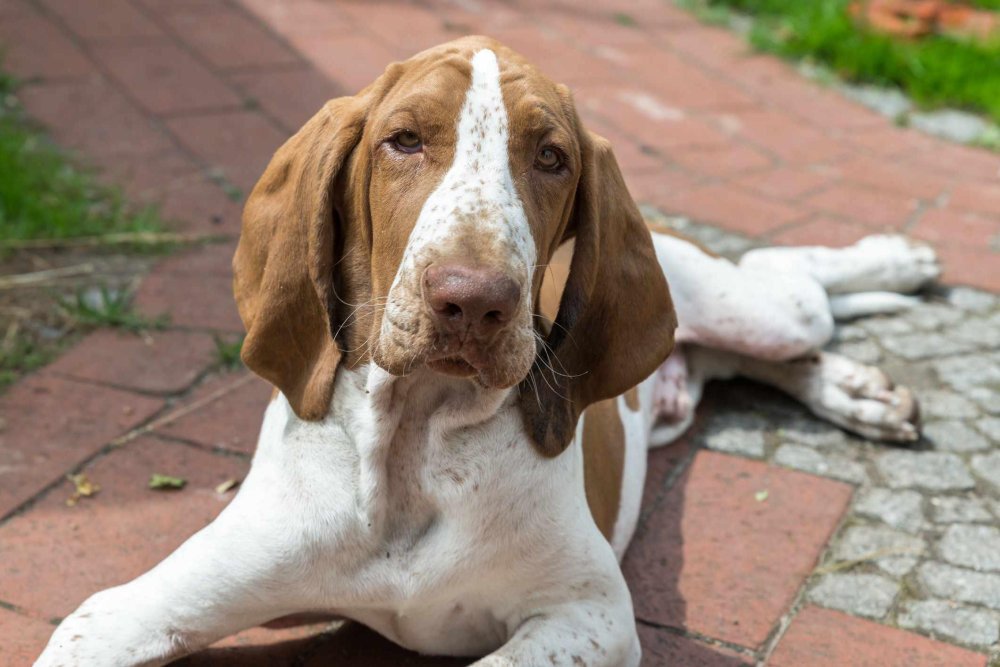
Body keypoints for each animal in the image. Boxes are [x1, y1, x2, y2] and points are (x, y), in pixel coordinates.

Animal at [33, 37, 936, 667]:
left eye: (552, 156)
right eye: (401, 140)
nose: (471, 300)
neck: (412, 448)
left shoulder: (590, 614)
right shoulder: (122, 611)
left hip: (756, 307)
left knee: (797, 282)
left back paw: (896, 263)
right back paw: (858, 385)